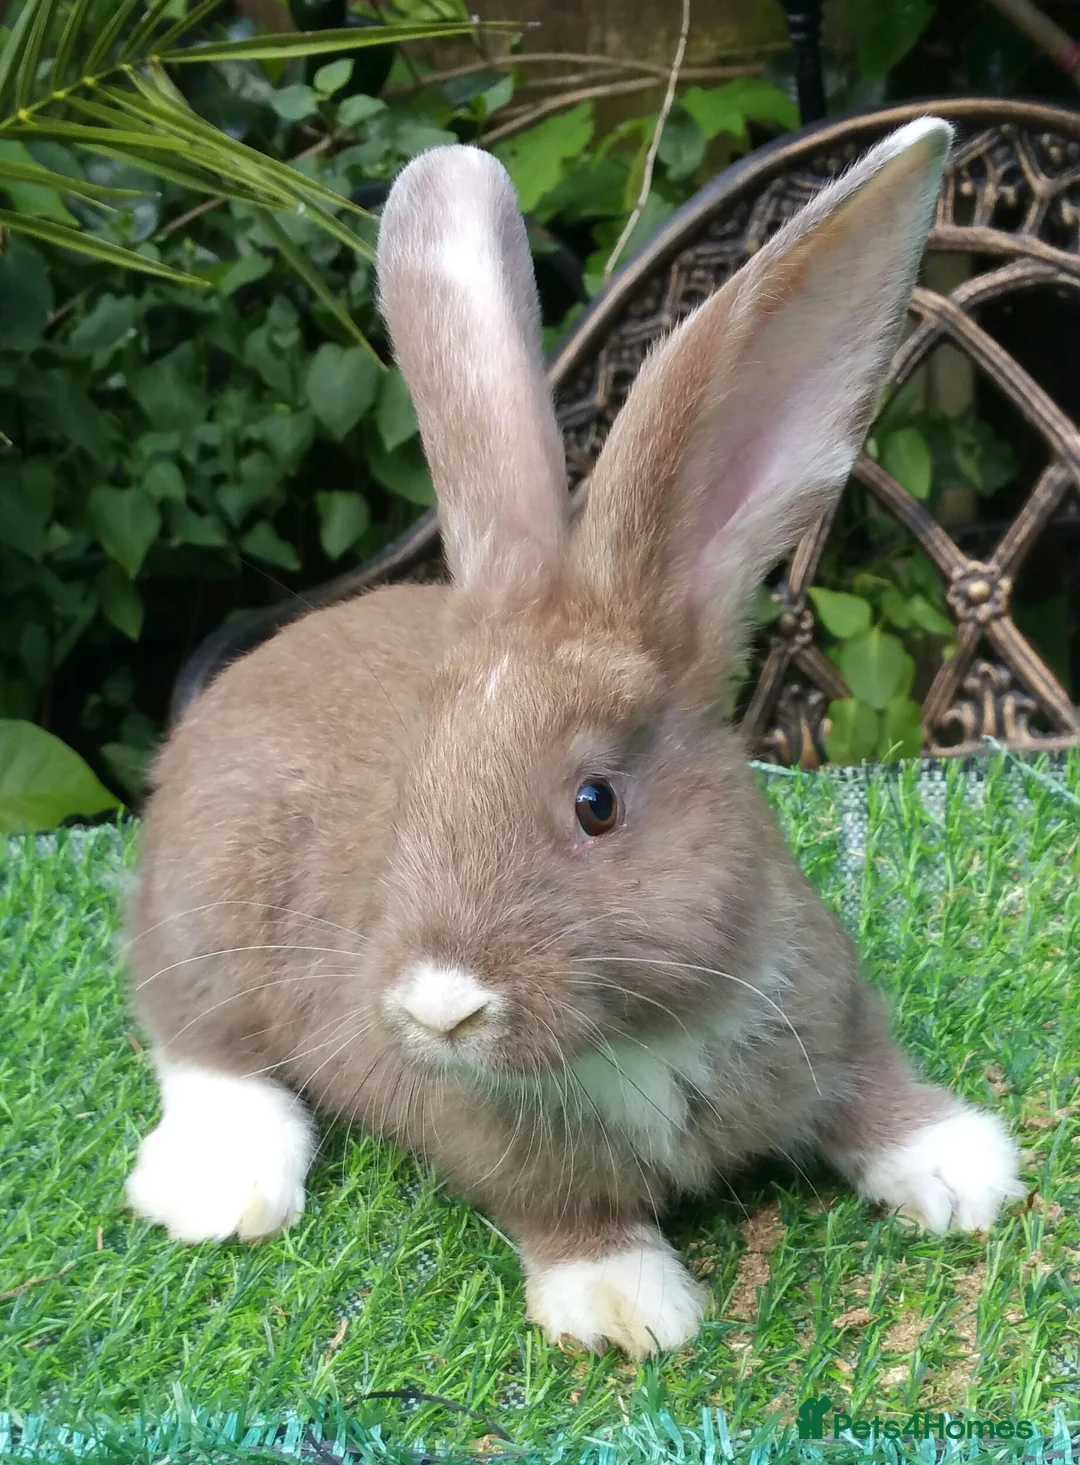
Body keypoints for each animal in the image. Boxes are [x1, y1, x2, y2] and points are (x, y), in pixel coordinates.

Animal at [125, 118, 1024, 1360]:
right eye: (409, 797)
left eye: (596, 803)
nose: (439, 1007)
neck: (639, 1032)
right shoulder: (502, 1151)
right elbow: (561, 1209)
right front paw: (627, 1306)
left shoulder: (835, 1019)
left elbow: (873, 1089)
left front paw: (961, 1166)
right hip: (201, 920)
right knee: (197, 1039)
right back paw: (225, 1184)